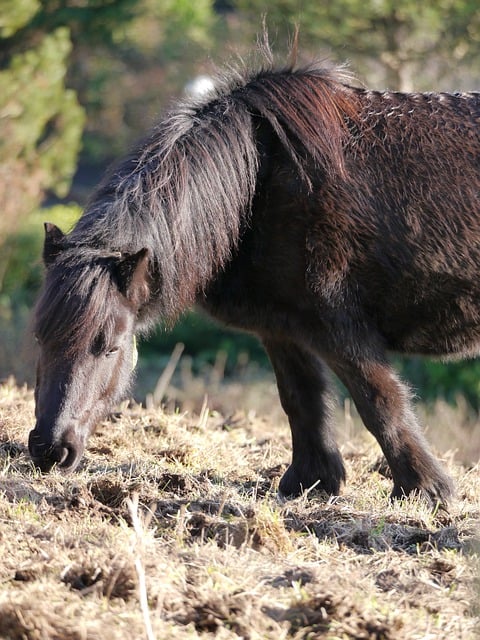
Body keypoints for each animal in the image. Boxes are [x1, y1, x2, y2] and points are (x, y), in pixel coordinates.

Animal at [30, 46, 480, 506]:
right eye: (39, 337)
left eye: (111, 347)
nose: (50, 449)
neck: (260, 184)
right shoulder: (283, 325)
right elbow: (300, 399)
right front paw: (311, 481)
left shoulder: (342, 327)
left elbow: (379, 402)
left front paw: (425, 490)